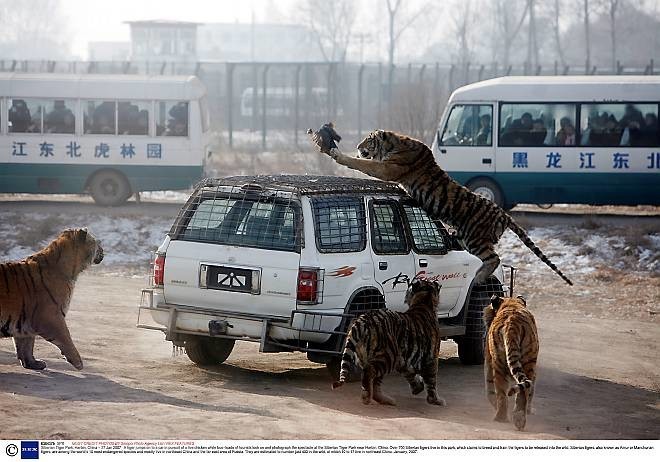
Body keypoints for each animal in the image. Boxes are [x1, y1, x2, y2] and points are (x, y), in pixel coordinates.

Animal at [0, 228, 104, 372]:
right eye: (95, 242)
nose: (104, 250)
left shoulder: (26, 320)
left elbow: (26, 344)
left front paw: (32, 363)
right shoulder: (51, 317)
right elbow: (66, 338)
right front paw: (78, 362)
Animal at [310, 124, 572, 286]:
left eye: (369, 140)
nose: (358, 146)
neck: (395, 143)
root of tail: (503, 215)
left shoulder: (387, 169)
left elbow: (362, 165)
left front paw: (338, 154)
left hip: (475, 237)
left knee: (494, 259)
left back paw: (479, 278)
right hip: (468, 237)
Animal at [482, 294, 540, 432]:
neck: (511, 302)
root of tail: (512, 323)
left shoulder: (488, 361)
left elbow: (489, 389)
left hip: (499, 364)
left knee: (502, 394)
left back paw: (500, 418)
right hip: (528, 362)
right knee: (523, 391)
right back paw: (518, 419)